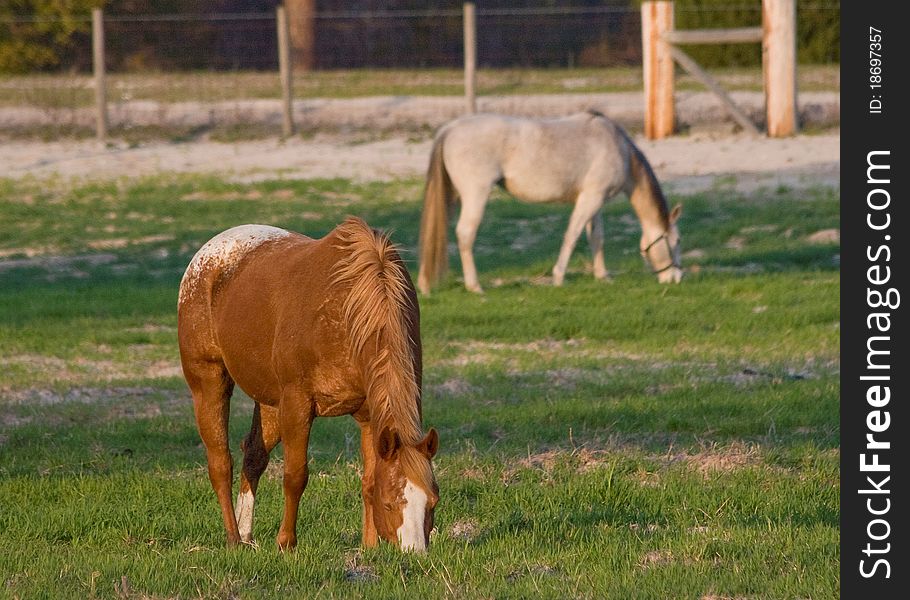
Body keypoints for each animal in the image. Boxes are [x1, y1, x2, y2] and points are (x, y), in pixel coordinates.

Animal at [176, 217, 440, 552]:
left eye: (433, 502)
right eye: (390, 503)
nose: (414, 553)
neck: (350, 309)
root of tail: (207, 254)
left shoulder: (369, 414)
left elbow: (368, 480)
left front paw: (369, 547)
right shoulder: (297, 404)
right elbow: (295, 476)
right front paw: (286, 543)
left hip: (269, 403)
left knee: (253, 455)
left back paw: (247, 534)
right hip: (210, 383)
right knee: (221, 463)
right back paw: (234, 538)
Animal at [416, 110, 680, 296]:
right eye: (675, 242)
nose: (676, 278)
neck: (617, 146)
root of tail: (450, 128)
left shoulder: (594, 200)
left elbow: (596, 237)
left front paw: (602, 276)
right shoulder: (591, 199)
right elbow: (572, 235)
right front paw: (559, 277)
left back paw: (425, 284)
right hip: (475, 195)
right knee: (465, 234)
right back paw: (475, 286)